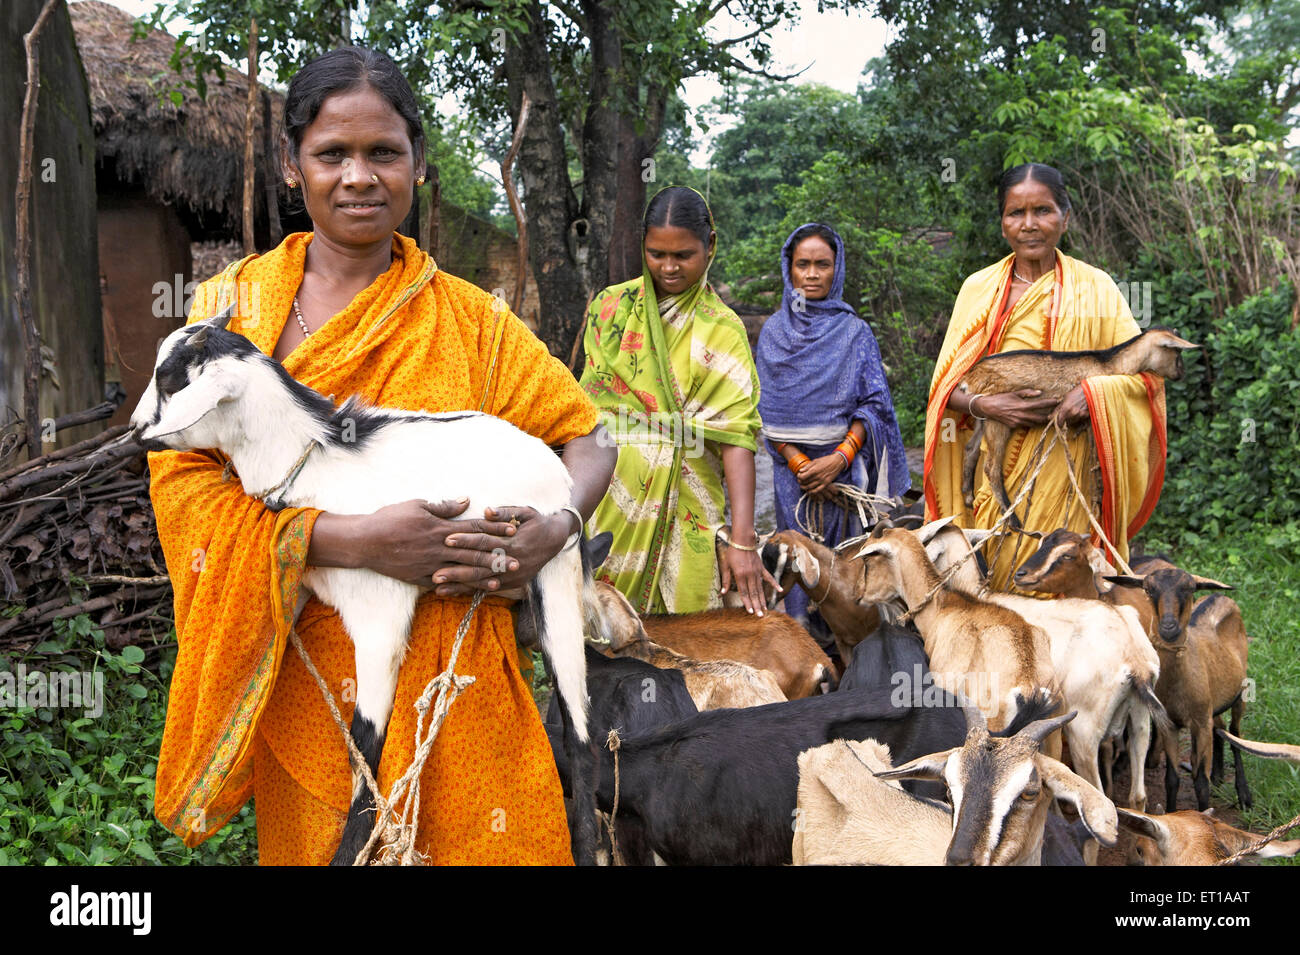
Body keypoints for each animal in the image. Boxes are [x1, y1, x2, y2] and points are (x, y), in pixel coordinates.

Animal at [133, 306, 595, 867]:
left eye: (170, 380)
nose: (135, 430)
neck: (322, 461)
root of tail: (555, 469)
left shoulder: (381, 617)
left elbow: (366, 748)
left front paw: (351, 851)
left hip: (554, 574)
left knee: (580, 734)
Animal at [956, 330, 1196, 530]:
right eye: (1176, 352)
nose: (1182, 373)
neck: (1109, 364)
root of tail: (969, 377)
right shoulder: (1090, 418)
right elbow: (1096, 463)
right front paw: (1100, 499)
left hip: (983, 416)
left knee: (971, 449)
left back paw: (968, 497)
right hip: (999, 418)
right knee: (991, 467)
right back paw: (1012, 519)